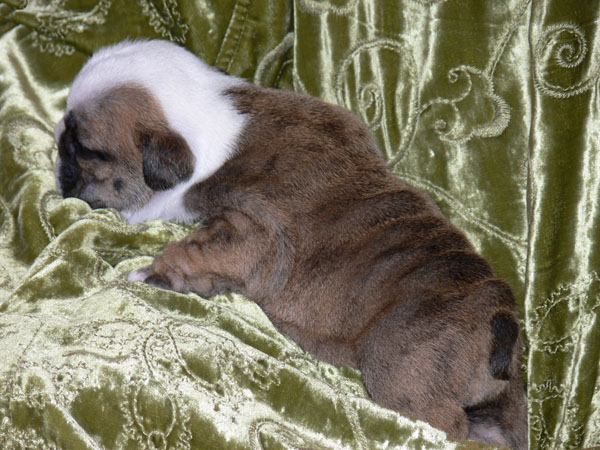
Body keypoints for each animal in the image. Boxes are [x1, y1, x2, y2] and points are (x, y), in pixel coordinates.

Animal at [55, 40, 527, 448]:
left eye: (87, 148)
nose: (57, 143)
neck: (217, 115)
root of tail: (499, 320)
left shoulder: (250, 233)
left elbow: (193, 252)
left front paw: (151, 272)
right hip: (506, 398)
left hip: (405, 374)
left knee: (446, 424)